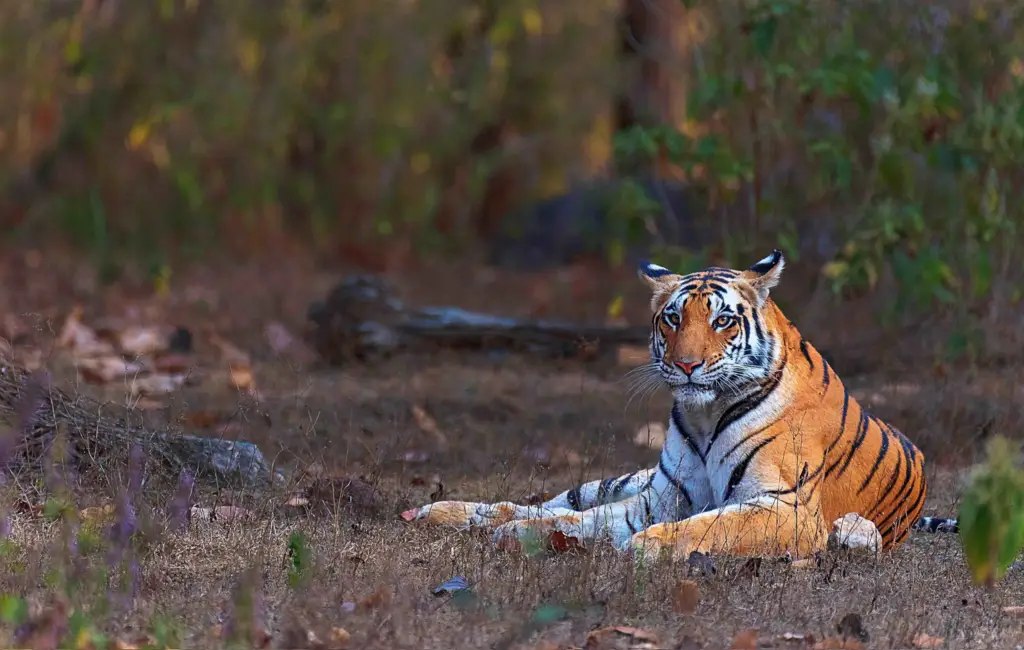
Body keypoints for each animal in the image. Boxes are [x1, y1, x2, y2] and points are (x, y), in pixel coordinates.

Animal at [402, 250, 959, 560]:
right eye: (672, 319)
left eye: (722, 321)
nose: (687, 365)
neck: (705, 414)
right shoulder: (660, 496)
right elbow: (580, 520)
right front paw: (520, 534)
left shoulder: (785, 507)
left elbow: (712, 524)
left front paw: (647, 546)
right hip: (620, 479)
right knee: (548, 501)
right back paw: (439, 512)